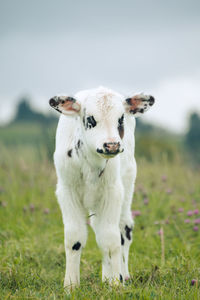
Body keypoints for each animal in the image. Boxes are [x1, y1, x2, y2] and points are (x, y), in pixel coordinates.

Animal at [48, 86, 155, 290]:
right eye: (90, 119)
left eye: (120, 118)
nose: (111, 145)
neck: (91, 164)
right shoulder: (67, 191)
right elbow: (74, 238)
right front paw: (71, 285)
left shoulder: (112, 192)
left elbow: (112, 239)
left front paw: (116, 285)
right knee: (99, 230)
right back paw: (106, 276)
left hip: (127, 187)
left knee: (123, 230)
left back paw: (122, 275)